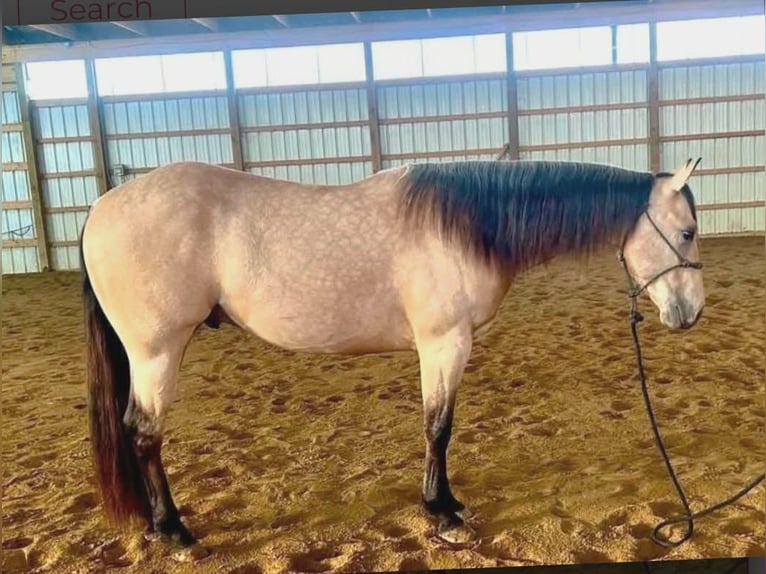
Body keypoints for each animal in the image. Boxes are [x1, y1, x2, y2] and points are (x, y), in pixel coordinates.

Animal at [79, 157, 705, 552]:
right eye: (689, 231)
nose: (691, 312)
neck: (463, 226)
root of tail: (101, 207)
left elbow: (439, 428)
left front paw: (447, 503)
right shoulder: (445, 343)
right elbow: (438, 427)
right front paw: (442, 513)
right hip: (156, 351)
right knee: (144, 433)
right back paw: (174, 532)